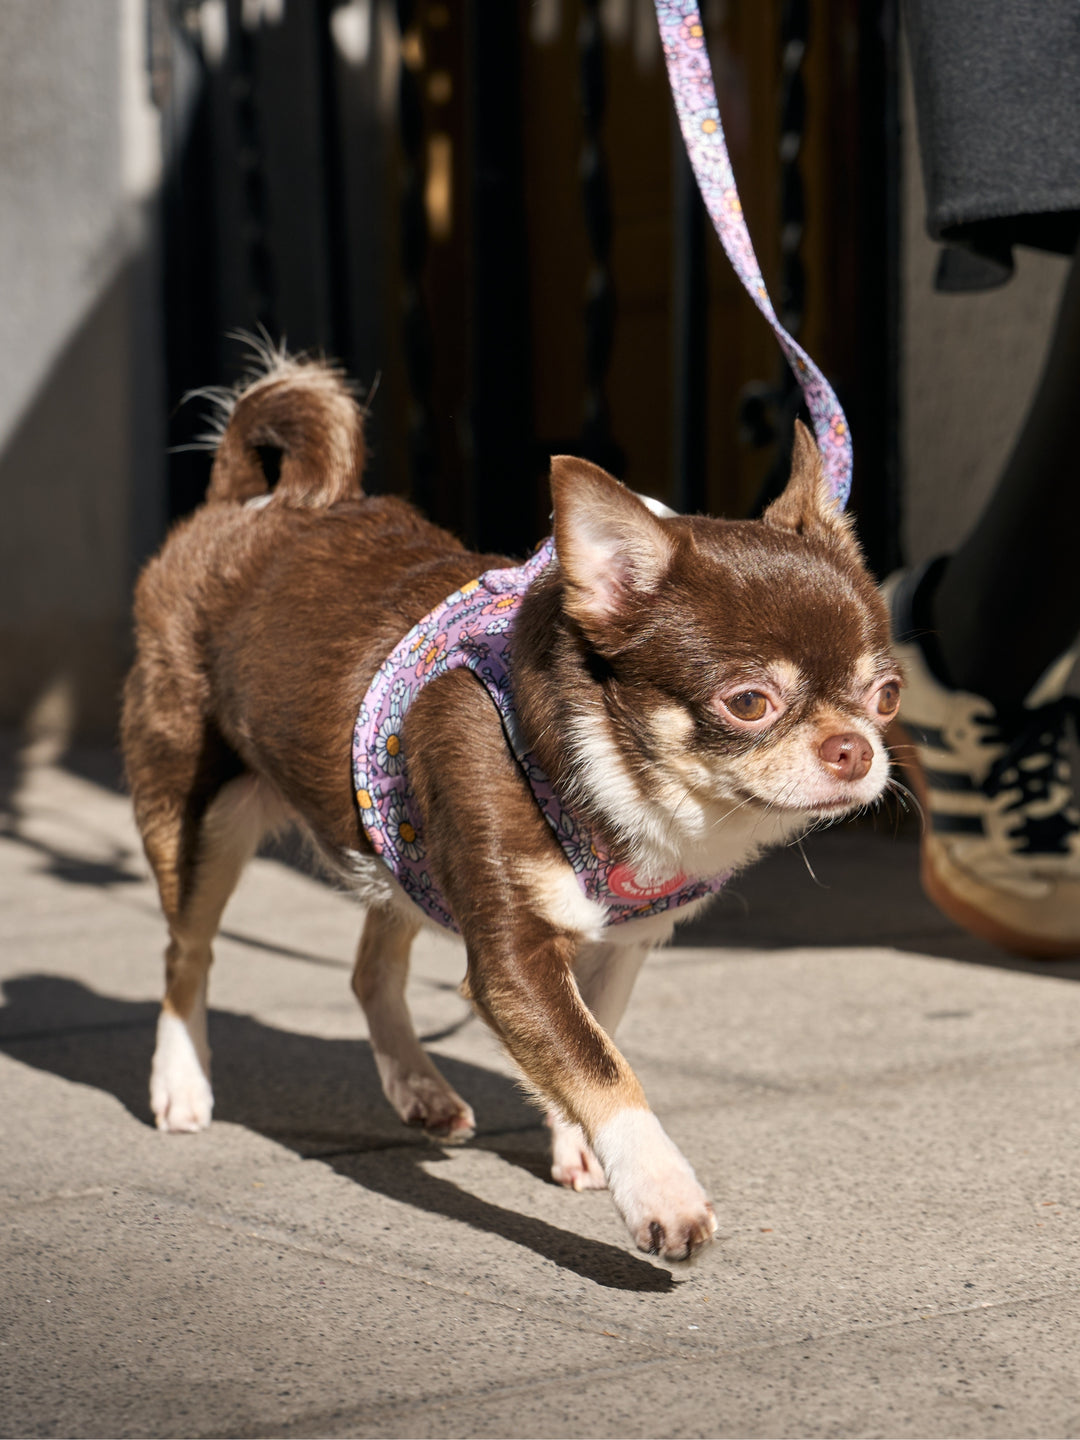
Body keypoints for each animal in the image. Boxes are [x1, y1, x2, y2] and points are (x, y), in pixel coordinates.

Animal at [124, 351, 904, 1261]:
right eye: (748, 702)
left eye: (887, 696)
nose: (855, 747)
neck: (612, 772)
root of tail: (247, 504)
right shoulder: (513, 959)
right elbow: (598, 1063)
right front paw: (661, 1190)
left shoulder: (618, 944)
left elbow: (591, 1040)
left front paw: (578, 1144)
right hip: (194, 811)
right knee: (186, 951)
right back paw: (181, 1083)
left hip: (397, 845)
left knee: (368, 968)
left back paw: (417, 1087)